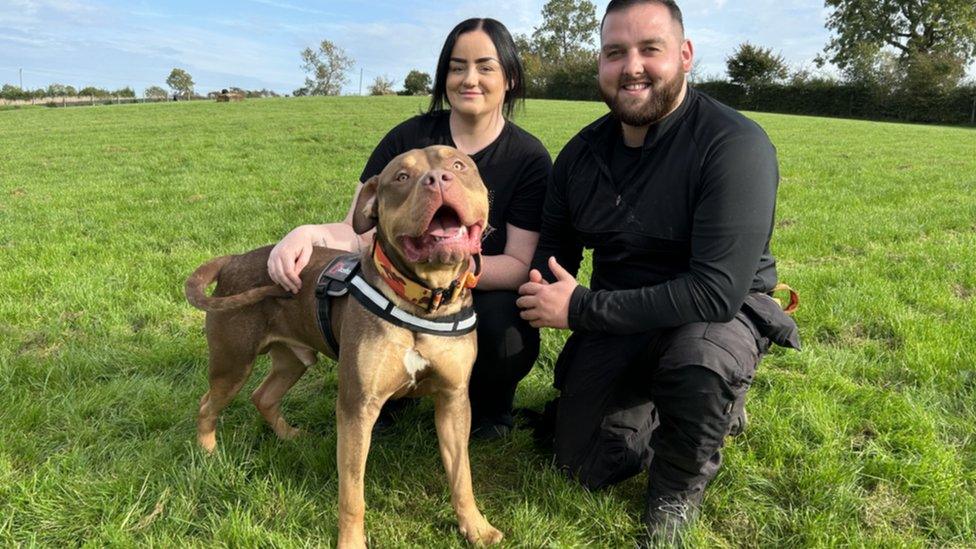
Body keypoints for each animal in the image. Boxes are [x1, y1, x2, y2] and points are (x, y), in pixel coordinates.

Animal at [186, 147, 504, 548]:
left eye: (458, 166)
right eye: (401, 177)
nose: (437, 180)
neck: (423, 299)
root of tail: (234, 259)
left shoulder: (453, 400)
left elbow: (462, 476)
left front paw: (475, 527)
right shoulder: (357, 407)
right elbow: (352, 494)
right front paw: (351, 542)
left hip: (291, 361)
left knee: (263, 395)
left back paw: (289, 436)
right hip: (233, 362)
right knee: (207, 404)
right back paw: (208, 452)